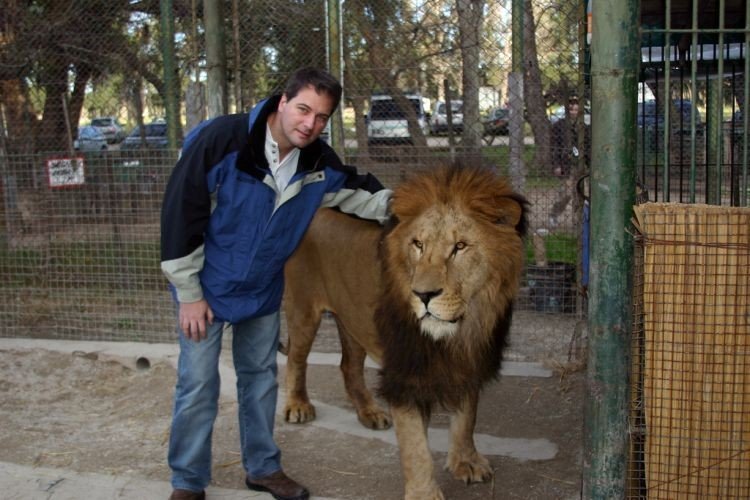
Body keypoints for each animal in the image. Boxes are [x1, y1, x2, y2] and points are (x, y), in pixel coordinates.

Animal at [282, 166, 528, 498]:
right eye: (418, 245)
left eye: (460, 247)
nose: (423, 295)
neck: (459, 331)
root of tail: (315, 210)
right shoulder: (404, 373)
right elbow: (415, 446)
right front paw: (424, 493)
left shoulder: (469, 360)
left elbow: (467, 417)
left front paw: (466, 462)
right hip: (304, 310)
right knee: (296, 359)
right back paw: (298, 406)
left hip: (353, 318)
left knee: (349, 366)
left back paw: (369, 413)